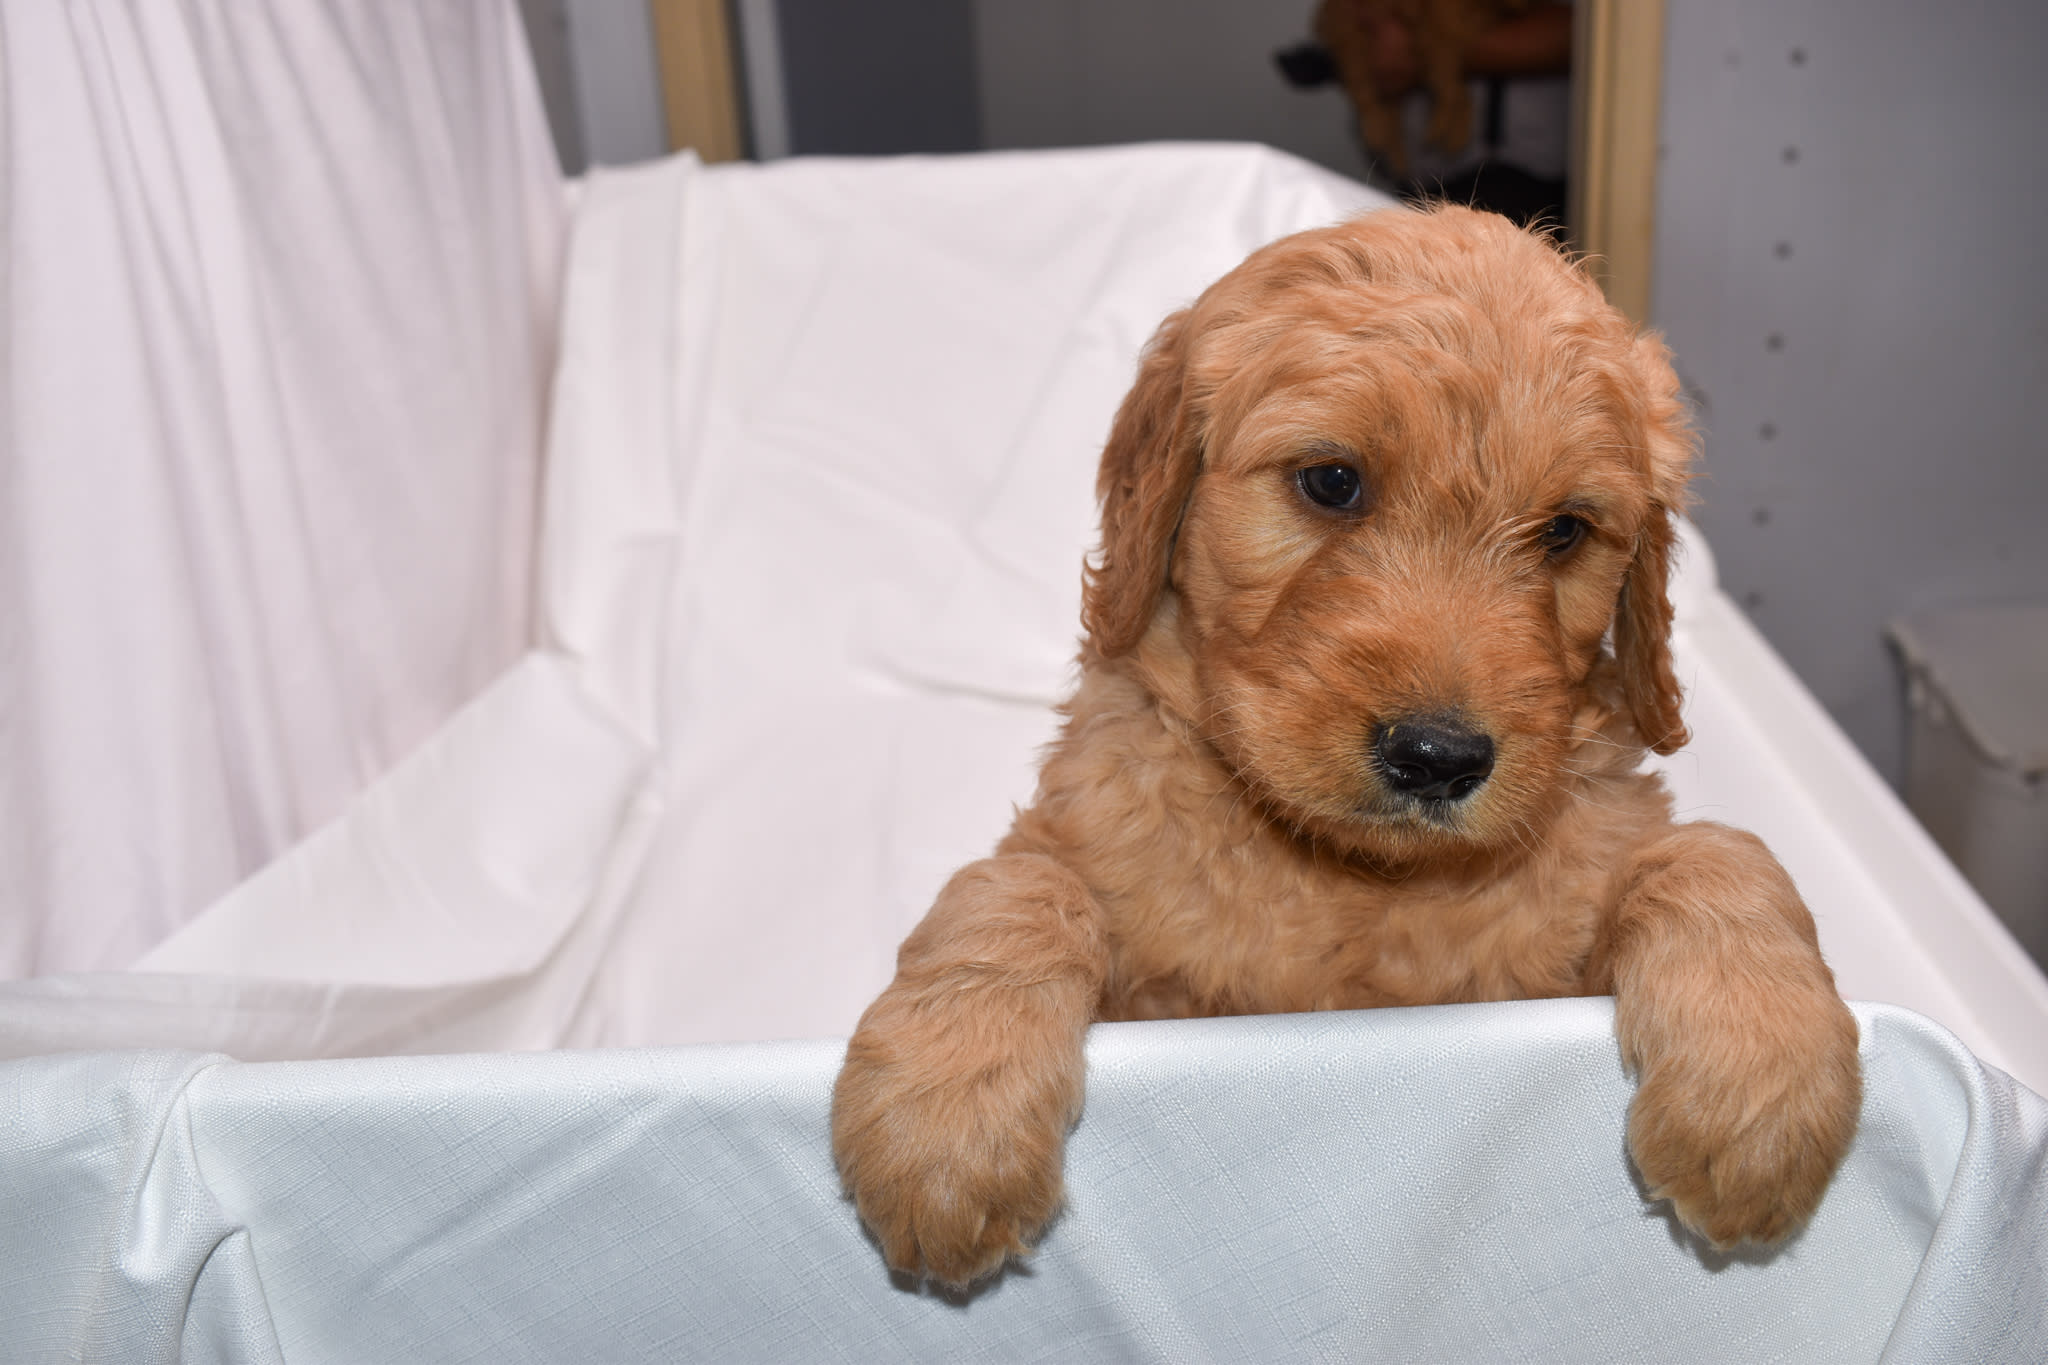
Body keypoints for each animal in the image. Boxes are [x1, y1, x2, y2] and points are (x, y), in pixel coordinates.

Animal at [827, 205, 1859, 1293]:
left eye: (1564, 532)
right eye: (1331, 482)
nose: (1438, 757)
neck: (1356, 880)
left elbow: (1712, 852)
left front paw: (1757, 1082)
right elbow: (1012, 887)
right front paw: (945, 1116)